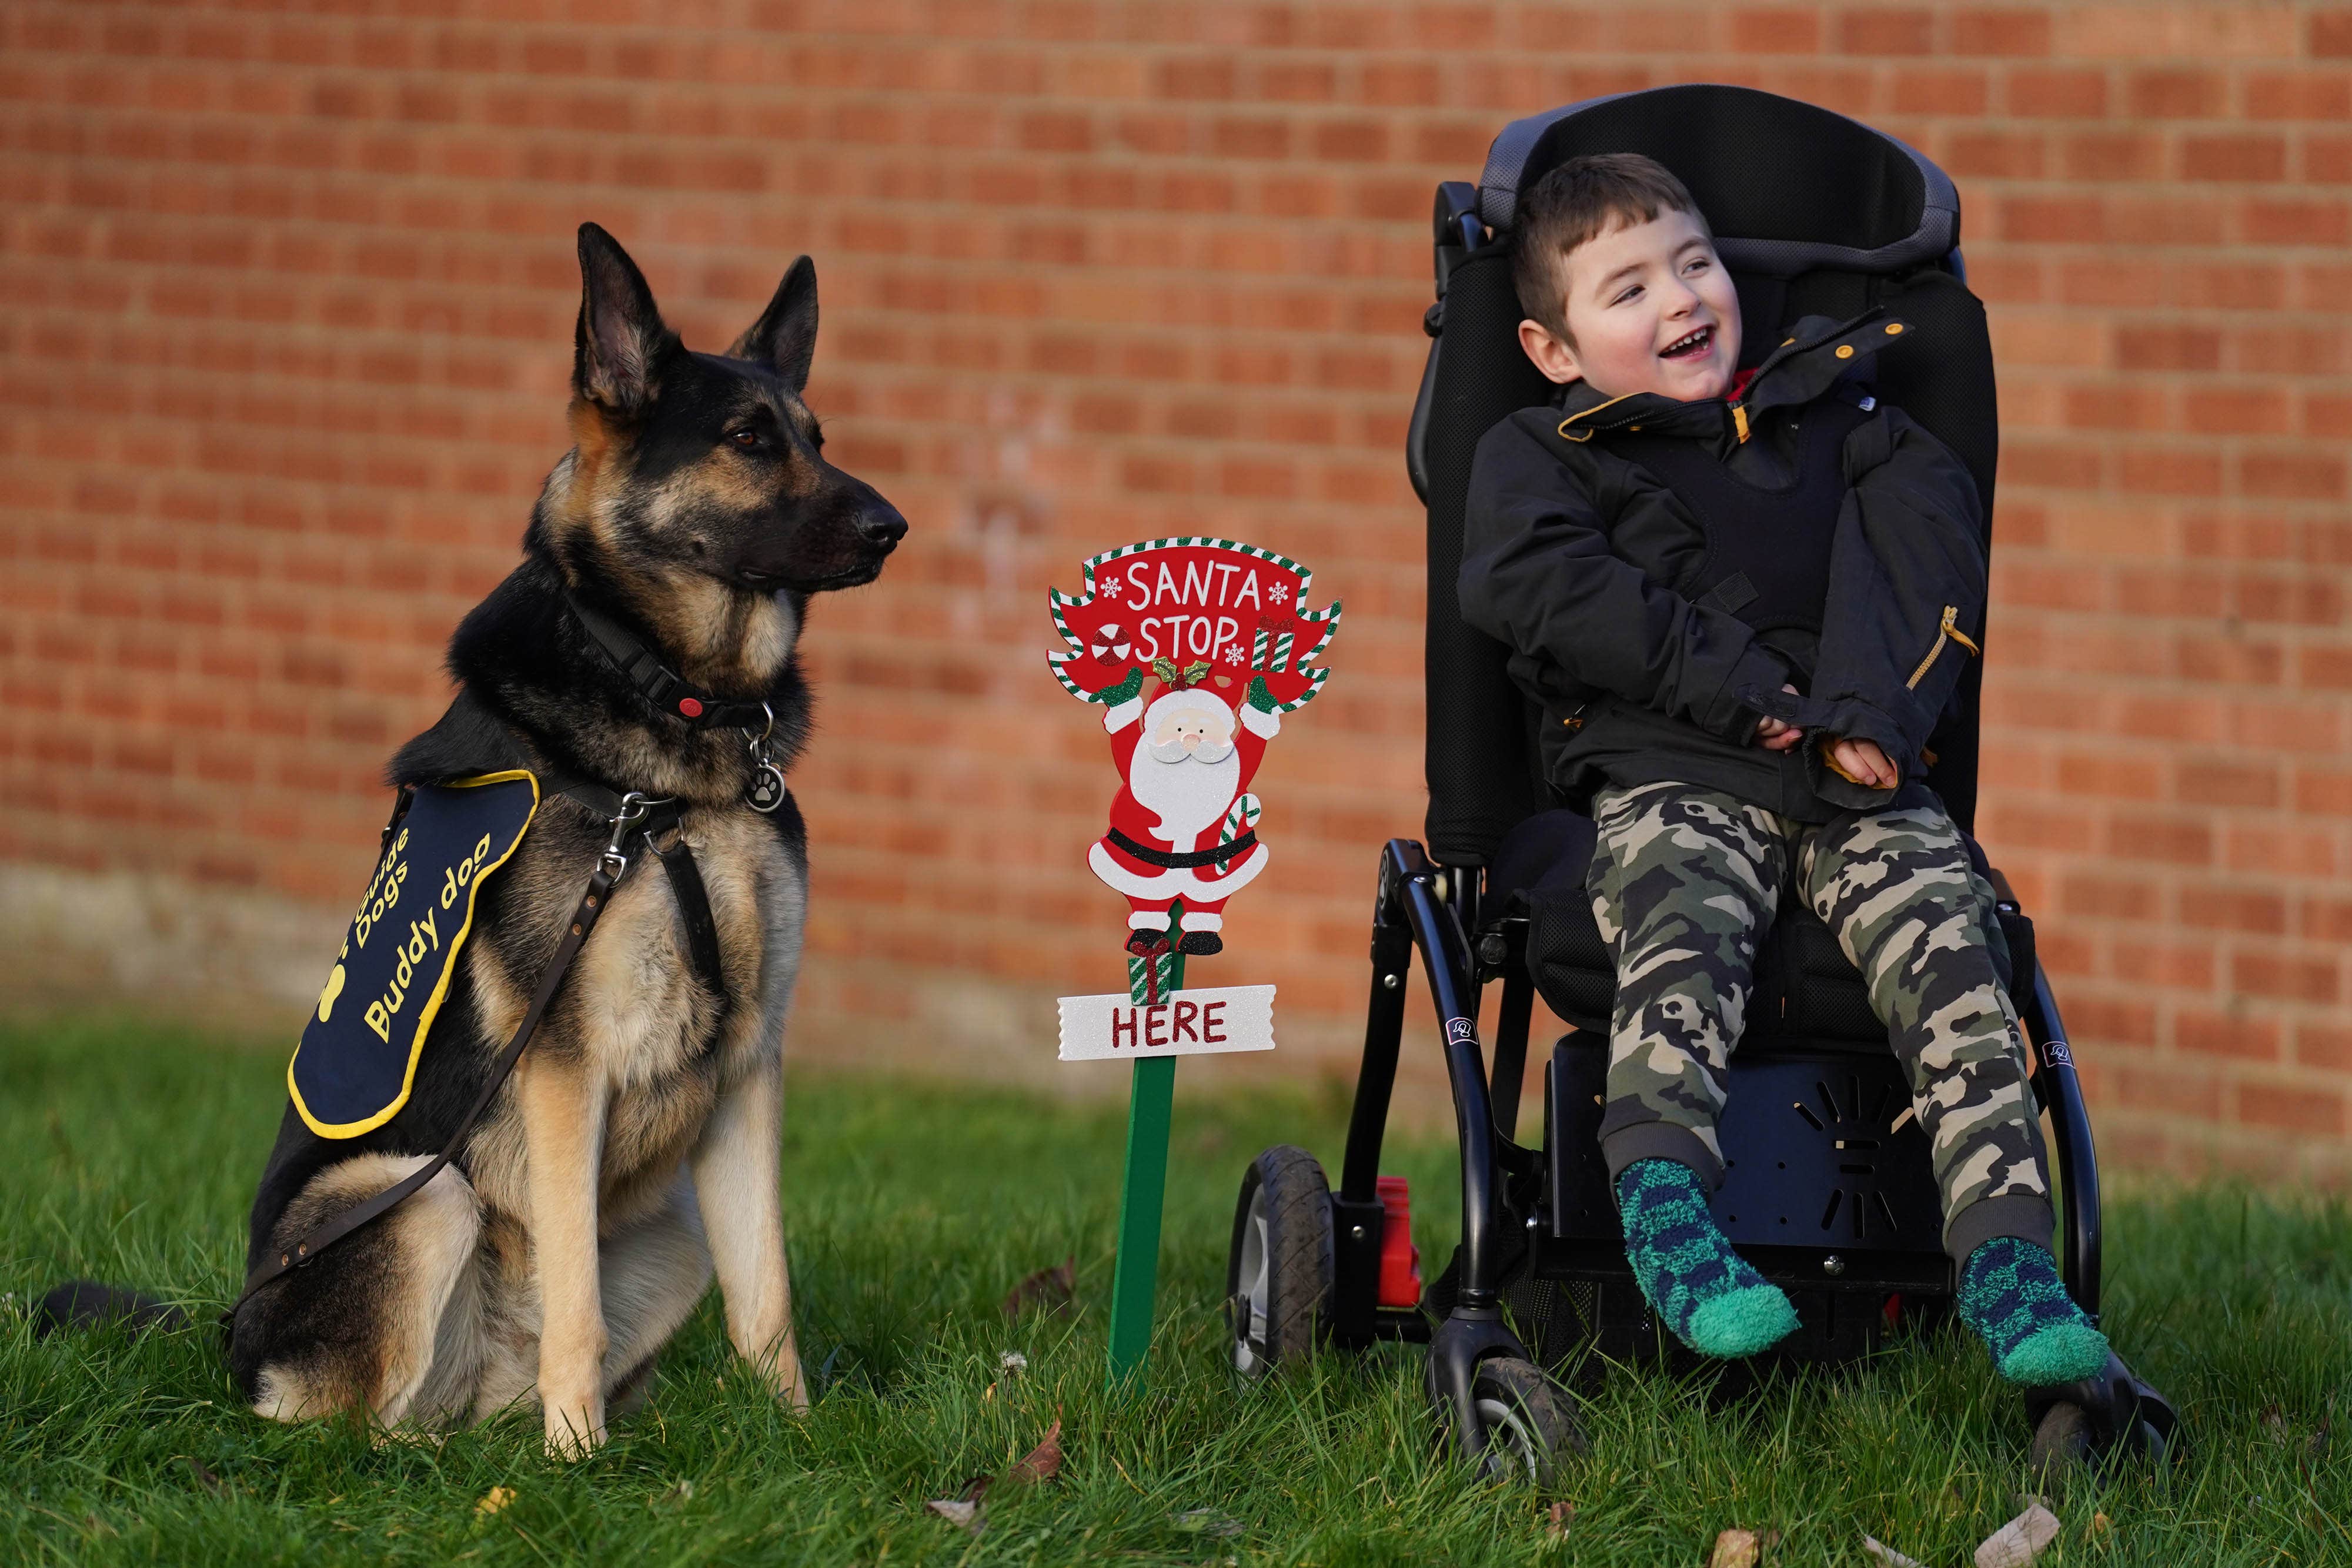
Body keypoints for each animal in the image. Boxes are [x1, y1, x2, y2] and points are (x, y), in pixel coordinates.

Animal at [221, 223, 903, 1457]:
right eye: (747, 438)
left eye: (818, 438)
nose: (894, 528)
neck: (679, 715)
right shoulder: (563, 1070)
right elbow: (578, 1297)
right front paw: (578, 1459)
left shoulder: (749, 1066)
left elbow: (768, 1293)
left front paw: (797, 1437)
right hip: (415, 1193)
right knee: (357, 1427)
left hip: (671, 1230)